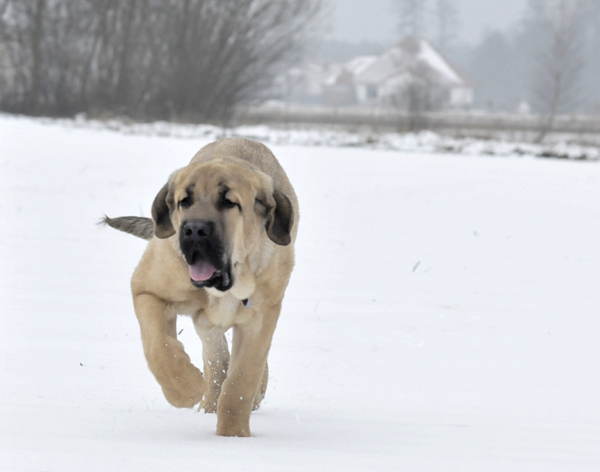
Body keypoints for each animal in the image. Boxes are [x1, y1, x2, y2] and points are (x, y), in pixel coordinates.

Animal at [106, 136, 298, 436]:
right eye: (184, 201)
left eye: (229, 203)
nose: (194, 230)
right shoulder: (147, 290)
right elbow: (159, 349)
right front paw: (186, 389)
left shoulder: (261, 318)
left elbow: (241, 380)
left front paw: (233, 435)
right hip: (205, 325)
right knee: (215, 359)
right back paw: (207, 401)